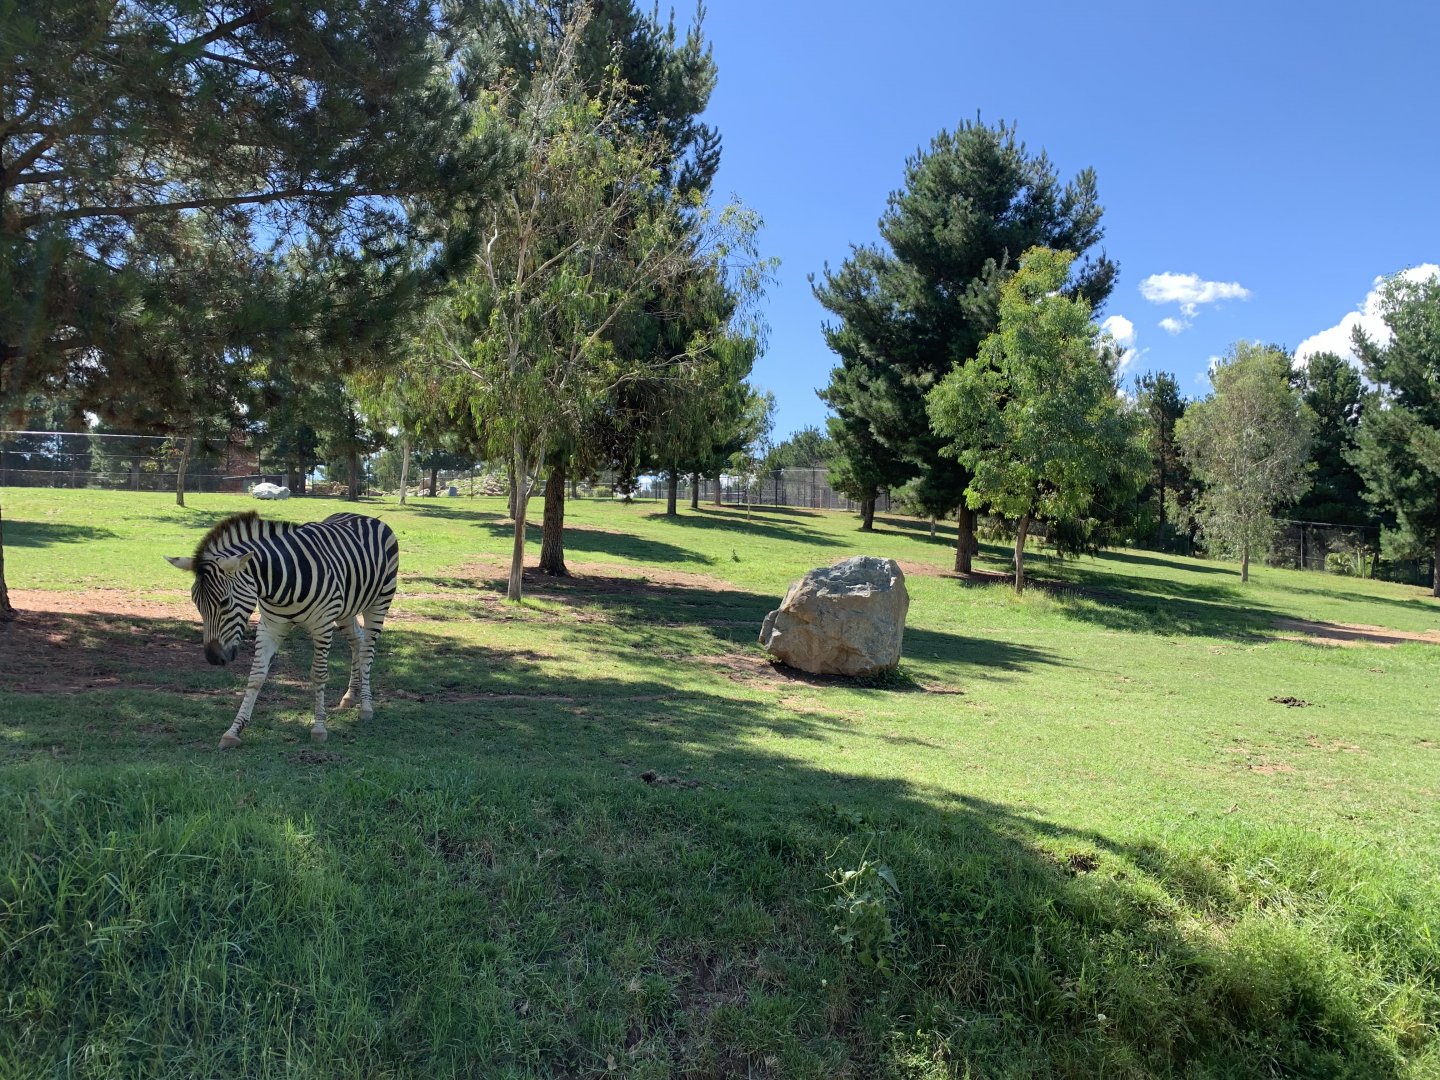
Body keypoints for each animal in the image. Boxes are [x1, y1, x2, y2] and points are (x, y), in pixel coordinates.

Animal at [165, 510, 399, 749]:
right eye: (196, 603)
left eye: (224, 602)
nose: (213, 658)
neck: (279, 583)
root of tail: (363, 516)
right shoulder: (270, 626)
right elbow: (256, 676)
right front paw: (233, 731)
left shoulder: (322, 625)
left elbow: (319, 675)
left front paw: (319, 728)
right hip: (346, 609)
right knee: (357, 641)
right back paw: (350, 696)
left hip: (379, 602)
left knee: (367, 651)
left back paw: (366, 707)